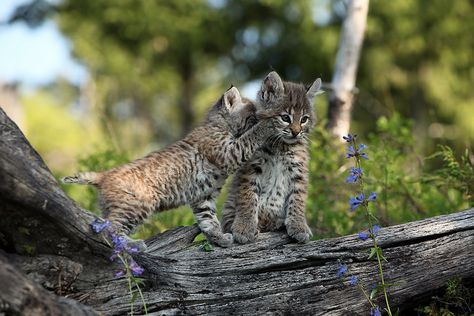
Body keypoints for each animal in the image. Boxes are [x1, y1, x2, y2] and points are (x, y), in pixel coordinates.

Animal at [63, 86, 278, 247]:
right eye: (253, 117)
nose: (261, 117)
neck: (218, 124)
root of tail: (104, 175)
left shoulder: (204, 195)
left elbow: (208, 219)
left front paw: (219, 238)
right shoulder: (228, 153)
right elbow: (250, 137)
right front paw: (268, 125)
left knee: (103, 224)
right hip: (137, 204)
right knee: (111, 228)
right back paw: (132, 244)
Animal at [221, 71, 322, 244]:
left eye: (304, 120)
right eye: (285, 118)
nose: (296, 132)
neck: (281, 145)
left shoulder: (299, 172)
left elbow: (298, 199)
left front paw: (299, 225)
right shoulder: (251, 167)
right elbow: (248, 197)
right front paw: (244, 227)